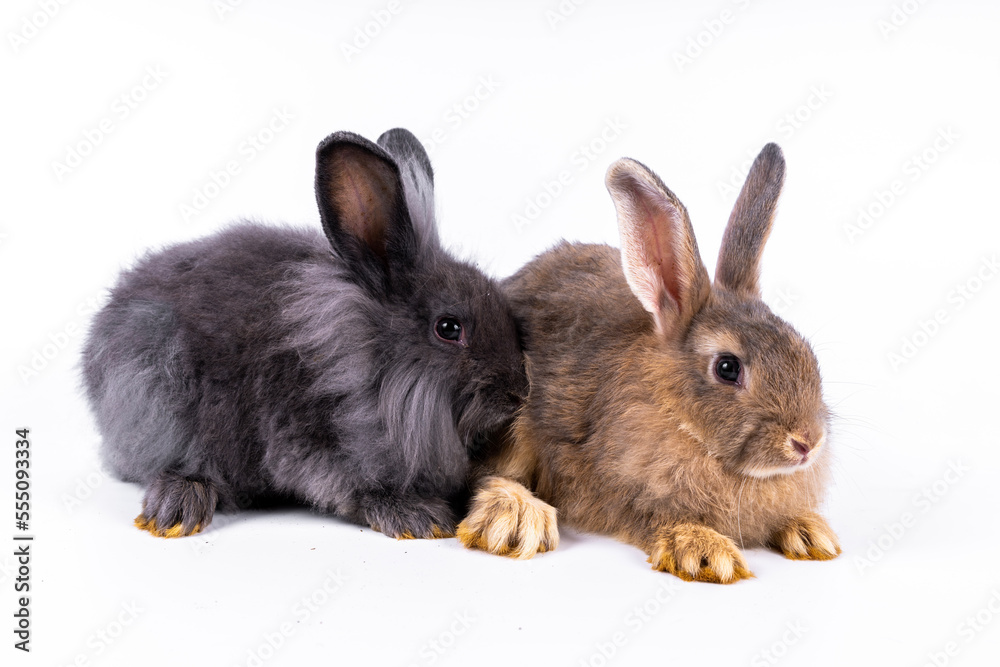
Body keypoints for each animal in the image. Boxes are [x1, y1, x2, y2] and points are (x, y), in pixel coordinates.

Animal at [82, 128, 528, 540]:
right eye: (449, 328)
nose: (518, 393)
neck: (367, 364)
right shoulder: (310, 443)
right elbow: (354, 487)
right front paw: (418, 516)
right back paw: (179, 506)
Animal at [458, 144, 840, 583]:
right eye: (728, 368)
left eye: (805, 350)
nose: (807, 442)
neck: (681, 419)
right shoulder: (614, 488)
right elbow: (655, 517)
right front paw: (705, 551)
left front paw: (810, 532)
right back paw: (517, 516)